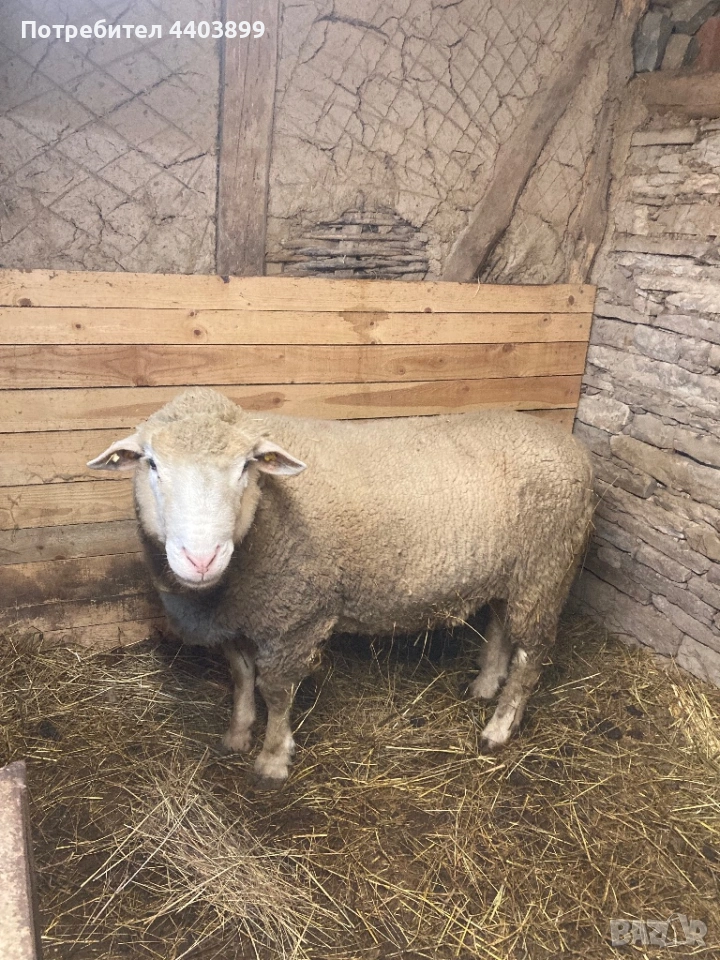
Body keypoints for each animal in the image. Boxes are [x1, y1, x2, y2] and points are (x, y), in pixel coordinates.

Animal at [88, 388, 594, 784]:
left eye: (247, 467)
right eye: (152, 464)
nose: (201, 558)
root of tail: (573, 446)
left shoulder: (296, 616)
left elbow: (276, 690)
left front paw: (273, 759)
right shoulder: (238, 616)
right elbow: (241, 675)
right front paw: (237, 733)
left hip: (549, 568)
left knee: (532, 656)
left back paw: (498, 728)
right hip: (516, 571)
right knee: (502, 626)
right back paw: (486, 683)